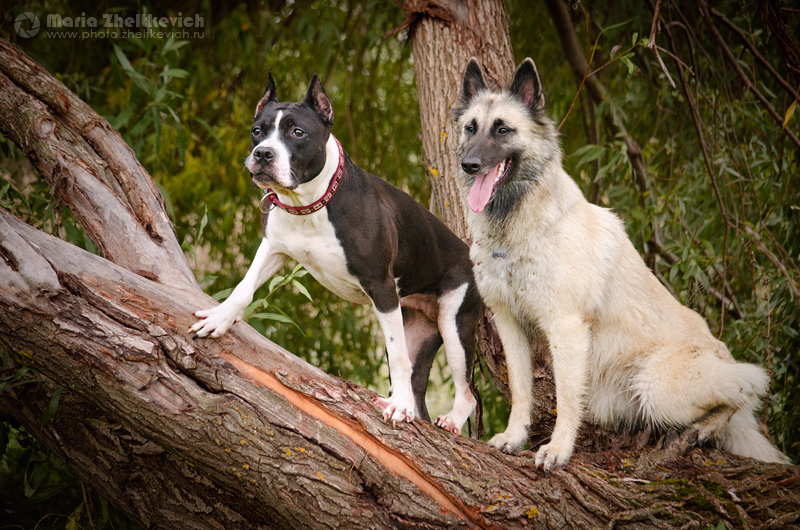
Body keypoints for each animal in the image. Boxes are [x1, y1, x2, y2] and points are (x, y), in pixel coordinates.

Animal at [192, 73, 482, 428]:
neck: (310, 202)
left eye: (297, 132)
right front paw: (219, 317)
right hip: (420, 326)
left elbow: (396, 354)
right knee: (418, 382)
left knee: (467, 392)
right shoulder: (273, 247)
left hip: (454, 324)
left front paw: (398, 405)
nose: (262, 154)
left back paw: (449, 418)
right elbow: (244, 287)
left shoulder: (381, 286)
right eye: (257, 131)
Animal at [454, 56, 792, 470]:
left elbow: (567, 397)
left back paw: (699, 431)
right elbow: (521, 391)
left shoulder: (566, 328)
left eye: (502, 129)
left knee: (747, 386)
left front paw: (558, 449)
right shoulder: (510, 325)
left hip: (657, 387)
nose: (469, 164)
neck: (516, 230)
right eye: (471, 128)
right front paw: (515, 436)